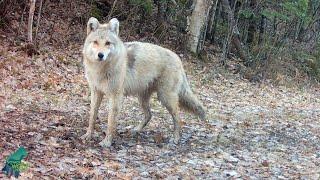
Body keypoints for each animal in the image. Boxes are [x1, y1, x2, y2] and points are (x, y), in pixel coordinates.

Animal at [80, 16, 205, 147]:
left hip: (165, 98)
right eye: (95, 42)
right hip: (142, 98)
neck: (100, 69)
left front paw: (107, 142)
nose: (101, 55)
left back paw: (175, 139)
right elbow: (92, 116)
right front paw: (88, 135)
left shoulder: (115, 96)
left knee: (178, 118)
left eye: (108, 43)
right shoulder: (96, 92)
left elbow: (110, 122)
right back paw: (135, 130)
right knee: (149, 115)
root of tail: (178, 58)